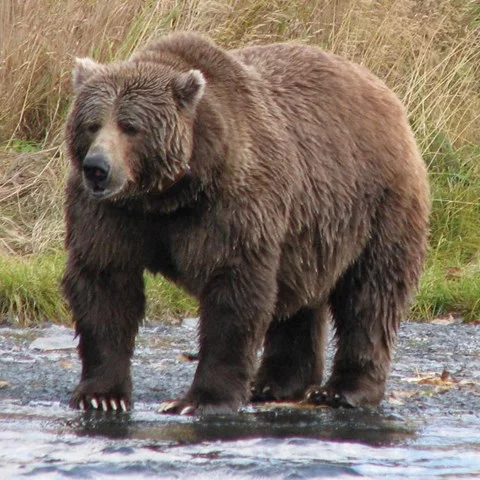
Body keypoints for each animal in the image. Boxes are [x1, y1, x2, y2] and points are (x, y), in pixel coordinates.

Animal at [62, 31, 432, 414]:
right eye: (91, 124)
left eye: (130, 127)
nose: (97, 168)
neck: (169, 194)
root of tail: (381, 90)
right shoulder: (113, 215)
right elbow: (105, 283)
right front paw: (102, 395)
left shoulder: (232, 206)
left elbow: (233, 292)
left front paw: (202, 399)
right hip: (307, 228)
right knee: (298, 297)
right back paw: (275, 383)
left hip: (377, 203)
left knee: (370, 293)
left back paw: (343, 390)